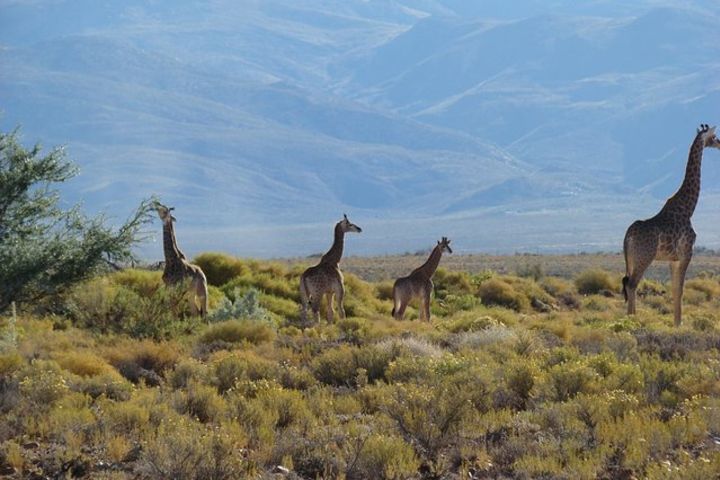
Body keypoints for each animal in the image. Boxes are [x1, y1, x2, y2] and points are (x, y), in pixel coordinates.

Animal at [620, 124, 716, 326]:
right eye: (714, 137)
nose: (719, 144)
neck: (688, 208)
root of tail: (628, 236)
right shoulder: (687, 253)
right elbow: (680, 289)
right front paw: (679, 324)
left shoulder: (673, 259)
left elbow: (674, 290)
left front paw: (675, 322)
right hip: (644, 257)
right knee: (632, 284)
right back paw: (633, 320)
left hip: (630, 258)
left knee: (627, 282)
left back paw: (630, 318)